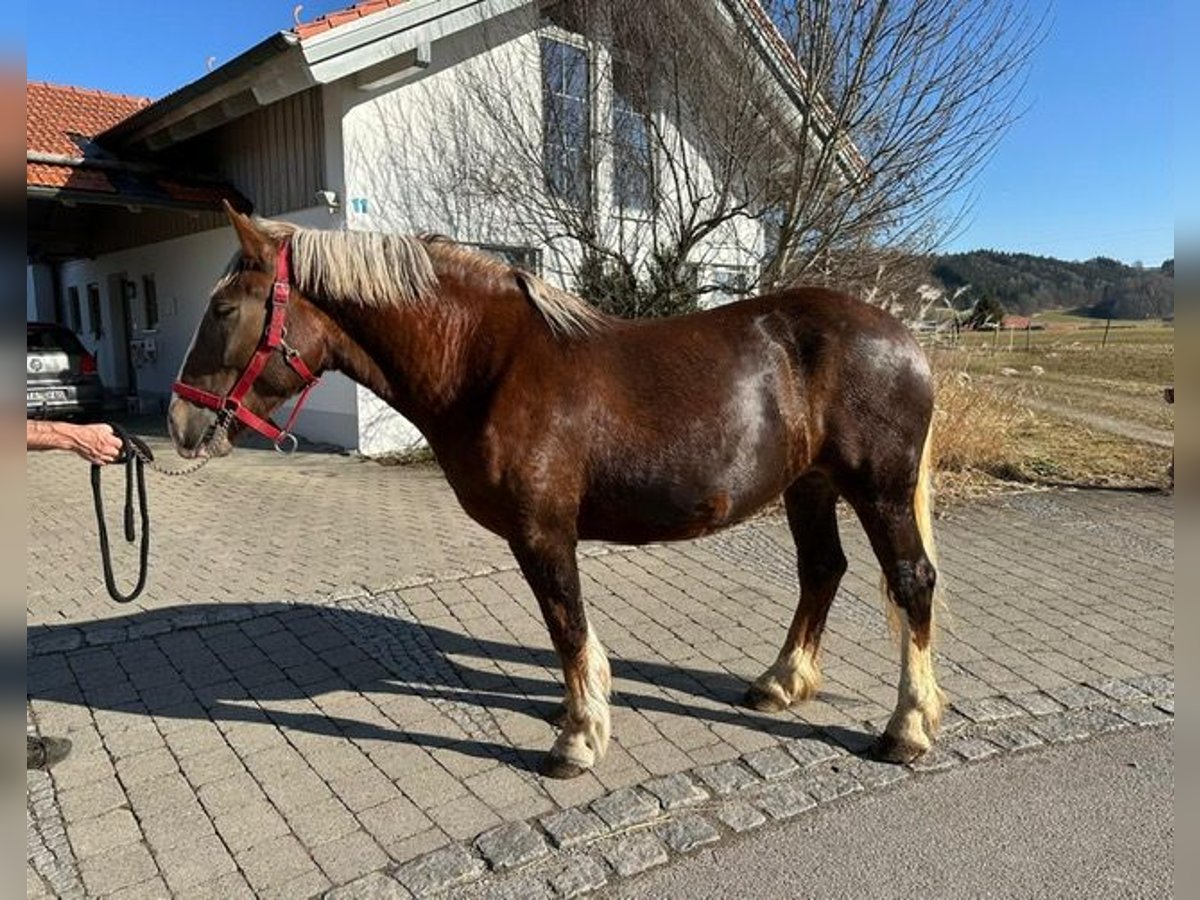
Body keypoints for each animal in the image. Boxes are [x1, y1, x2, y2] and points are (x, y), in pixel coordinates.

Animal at [169, 200, 940, 777]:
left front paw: (578, 739)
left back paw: (906, 727)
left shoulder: (543, 533)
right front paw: (579, 712)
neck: (489, 364)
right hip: (809, 486)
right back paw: (782, 683)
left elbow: (566, 625)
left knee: (911, 582)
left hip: (878, 489)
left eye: (224, 310)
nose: (180, 421)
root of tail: (904, 336)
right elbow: (566, 631)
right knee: (822, 570)